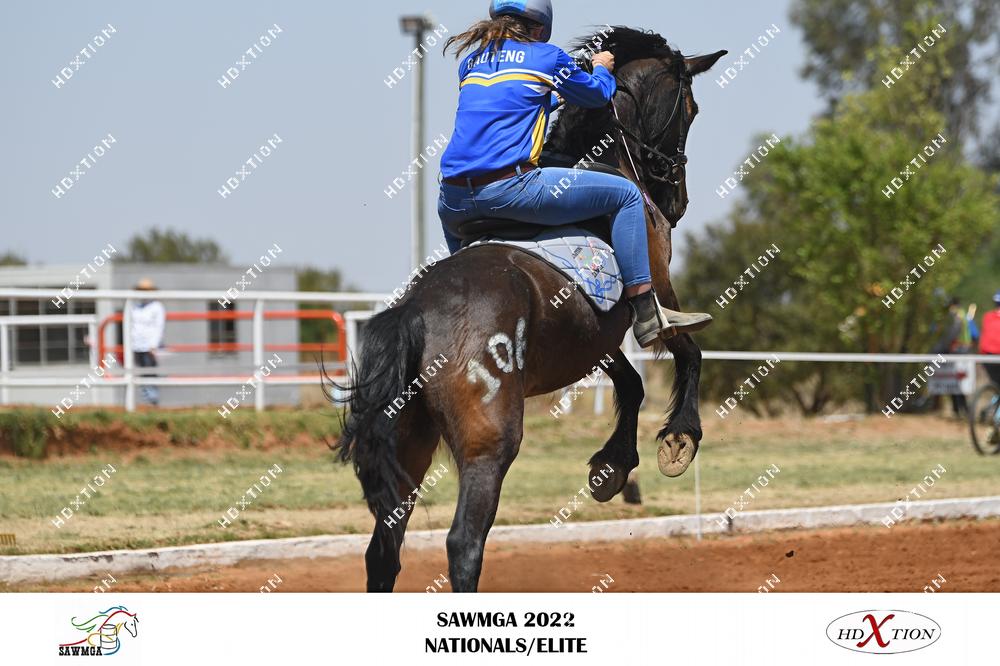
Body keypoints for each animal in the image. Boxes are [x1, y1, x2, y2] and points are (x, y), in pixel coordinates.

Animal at [333, 27, 726, 592]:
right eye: (690, 110)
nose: (678, 203)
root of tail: (416, 314)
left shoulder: (593, 335)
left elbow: (631, 383)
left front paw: (612, 466)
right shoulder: (654, 287)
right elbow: (687, 349)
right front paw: (679, 438)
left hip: (409, 443)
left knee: (383, 552)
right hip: (489, 442)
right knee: (464, 543)